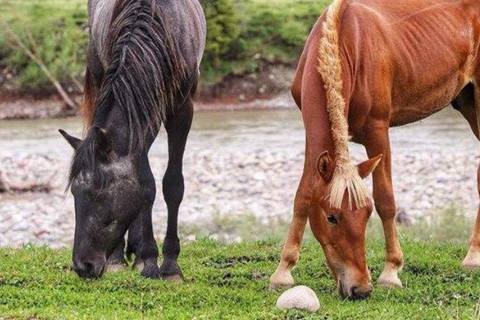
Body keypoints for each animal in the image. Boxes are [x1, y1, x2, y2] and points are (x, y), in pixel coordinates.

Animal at [59, 0, 204, 280]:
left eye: (99, 193)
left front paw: (170, 266)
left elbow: (172, 185)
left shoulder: (182, 110)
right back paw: (122, 257)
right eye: (73, 192)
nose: (83, 266)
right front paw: (148, 261)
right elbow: (146, 187)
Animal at [270, 0, 480, 300]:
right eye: (331, 217)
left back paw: (473, 256)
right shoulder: (312, 139)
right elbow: (303, 196)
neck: (345, 43)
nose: (360, 289)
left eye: (367, 213)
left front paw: (391, 271)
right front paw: (283, 270)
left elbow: (386, 200)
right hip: (468, 103)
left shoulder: (377, 131)